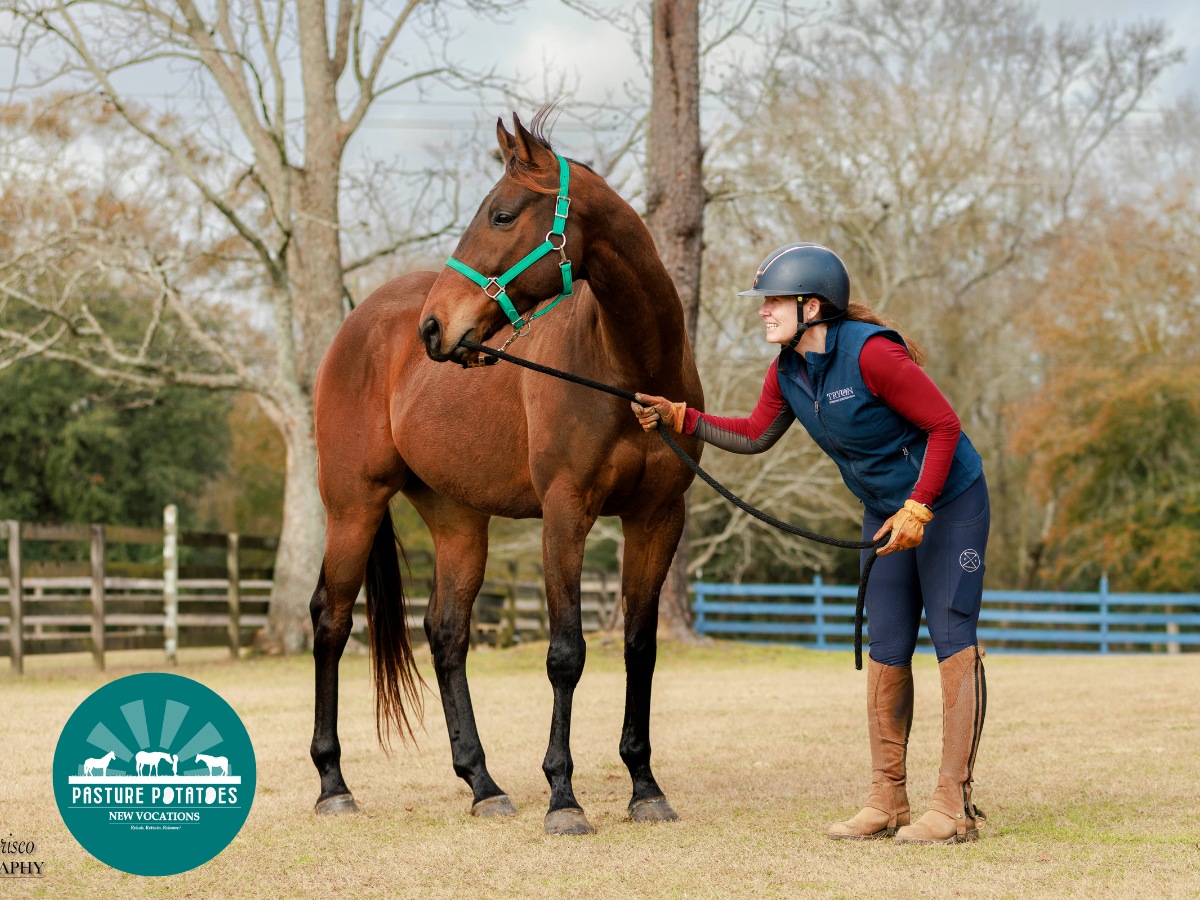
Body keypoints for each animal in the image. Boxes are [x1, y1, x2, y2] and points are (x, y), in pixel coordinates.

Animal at [308, 111, 703, 835]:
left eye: (500, 214)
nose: (436, 327)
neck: (623, 366)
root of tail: (363, 322)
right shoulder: (566, 511)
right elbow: (566, 653)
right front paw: (564, 797)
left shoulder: (658, 516)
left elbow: (639, 648)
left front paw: (644, 786)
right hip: (353, 506)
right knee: (332, 620)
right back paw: (333, 784)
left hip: (458, 519)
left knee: (445, 632)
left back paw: (482, 783)